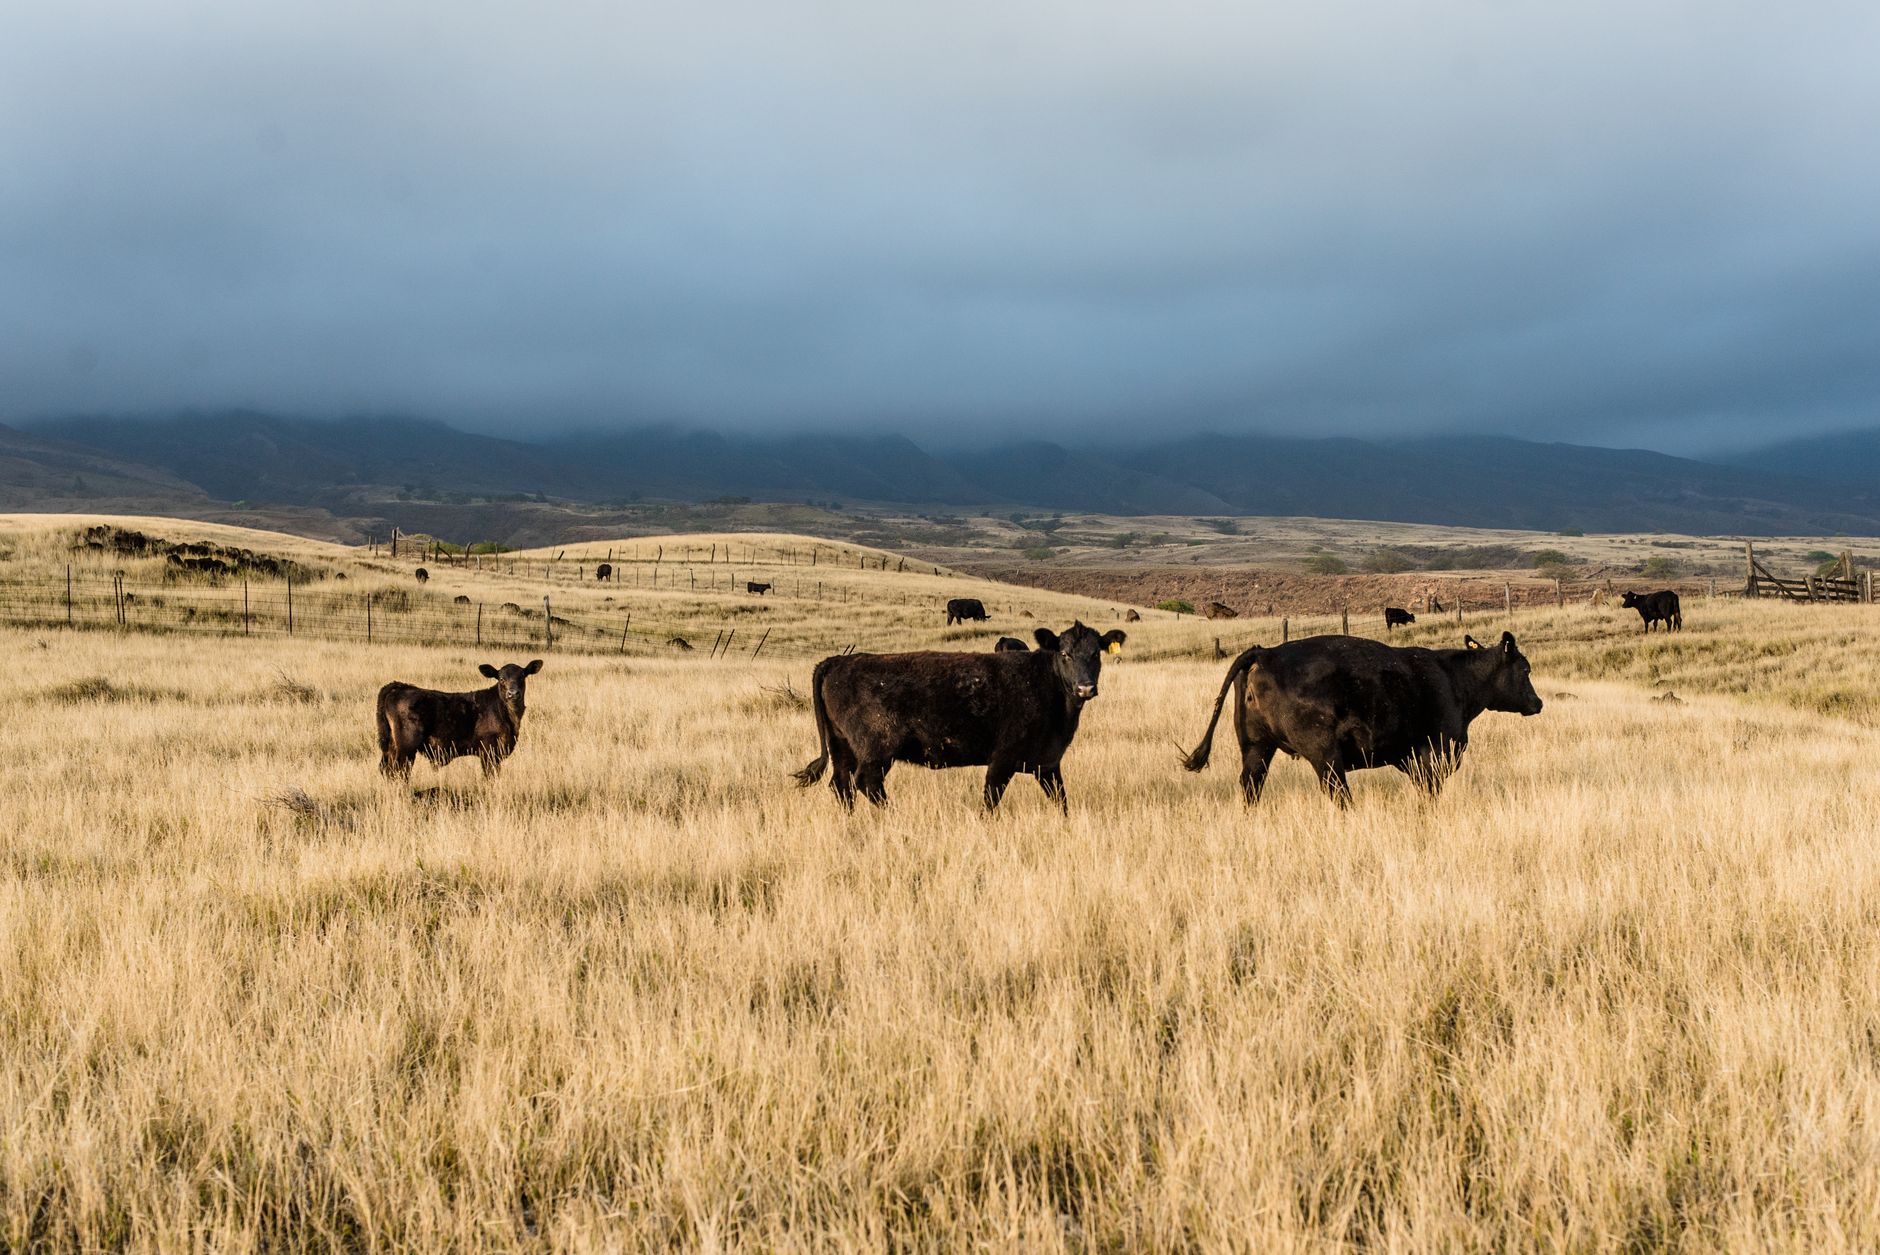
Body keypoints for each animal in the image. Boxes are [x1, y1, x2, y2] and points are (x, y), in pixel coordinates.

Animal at [376, 660, 543, 782]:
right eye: (501, 678)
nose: (512, 693)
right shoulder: (488, 751)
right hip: (406, 747)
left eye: (522, 676)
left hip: (391, 747)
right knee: (399, 771)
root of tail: (400, 687)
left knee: (386, 769)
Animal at [794, 622, 1127, 813]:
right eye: (1065, 654)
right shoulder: (1002, 759)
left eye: (1096, 653)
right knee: (867, 783)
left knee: (841, 786)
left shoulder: (1047, 763)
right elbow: (990, 801)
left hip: (842, 747)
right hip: (876, 749)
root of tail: (837, 661)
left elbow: (1062, 802)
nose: (1085, 687)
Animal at [1181, 631, 1542, 807]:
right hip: (1324, 754)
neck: (1454, 680)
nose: (1537, 703)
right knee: (1337, 792)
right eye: (1525, 669)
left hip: (1256, 746)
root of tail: (1266, 650)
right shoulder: (1433, 755)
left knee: (1251, 785)